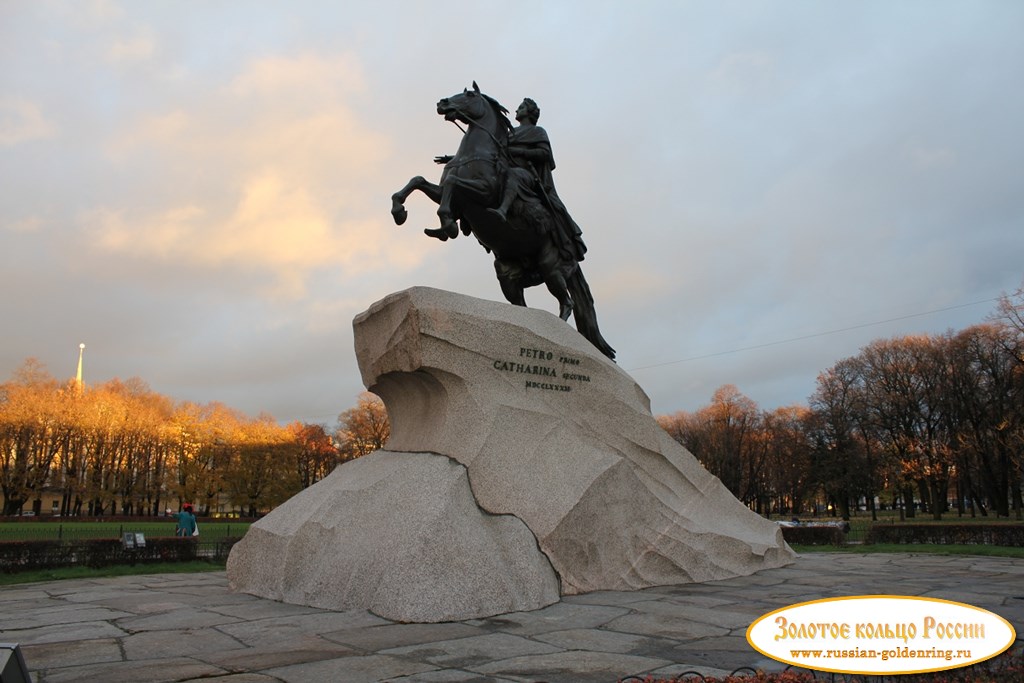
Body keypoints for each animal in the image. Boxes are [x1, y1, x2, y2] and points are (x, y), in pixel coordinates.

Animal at [389, 82, 614, 360]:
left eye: (469, 94)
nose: (442, 103)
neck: (475, 152)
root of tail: (574, 254)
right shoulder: (444, 194)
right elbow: (418, 180)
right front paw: (399, 211)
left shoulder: (483, 192)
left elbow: (453, 184)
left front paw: (447, 225)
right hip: (508, 275)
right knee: (522, 304)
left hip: (551, 267)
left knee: (567, 302)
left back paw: (560, 336)